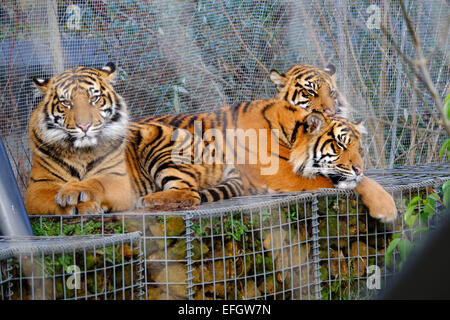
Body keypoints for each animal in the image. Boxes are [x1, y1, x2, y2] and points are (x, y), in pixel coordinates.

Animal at [25, 62, 398, 222]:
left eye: (332, 91)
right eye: (309, 92)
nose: (334, 108)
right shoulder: (278, 174)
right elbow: (345, 181)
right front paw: (387, 207)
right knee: (185, 195)